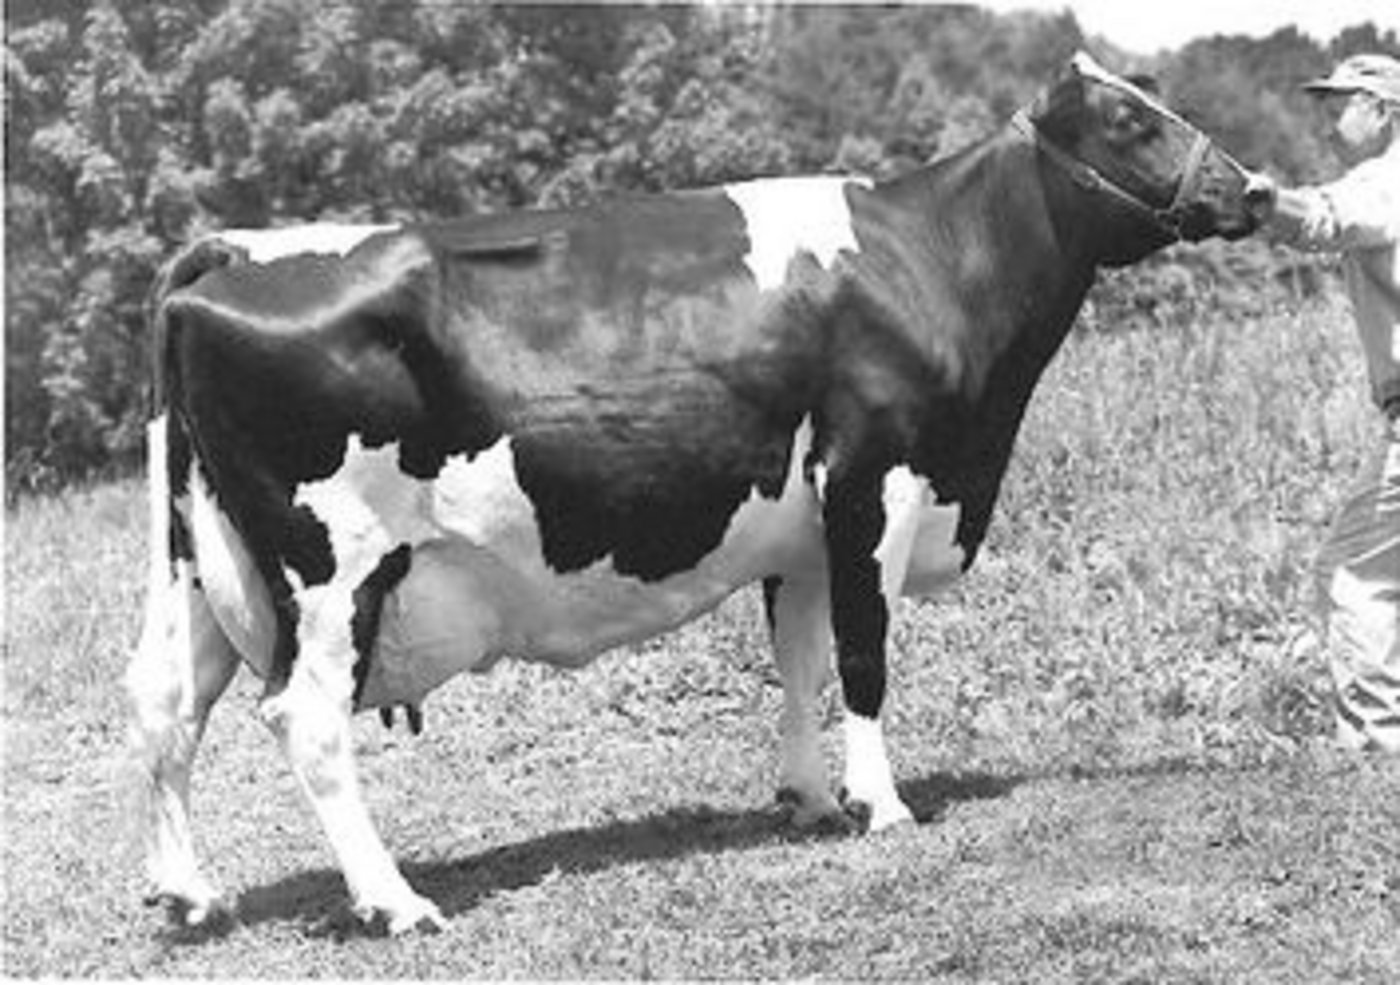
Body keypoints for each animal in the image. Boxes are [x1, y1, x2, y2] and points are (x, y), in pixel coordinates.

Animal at [127, 52, 1261, 935]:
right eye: (1131, 121)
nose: (1252, 188)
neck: (933, 260)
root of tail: (237, 248)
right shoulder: (873, 480)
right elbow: (863, 656)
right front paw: (882, 804)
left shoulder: (801, 530)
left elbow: (800, 661)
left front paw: (810, 800)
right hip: (334, 567)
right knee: (306, 718)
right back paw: (393, 900)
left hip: (198, 565)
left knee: (166, 707)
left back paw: (192, 892)